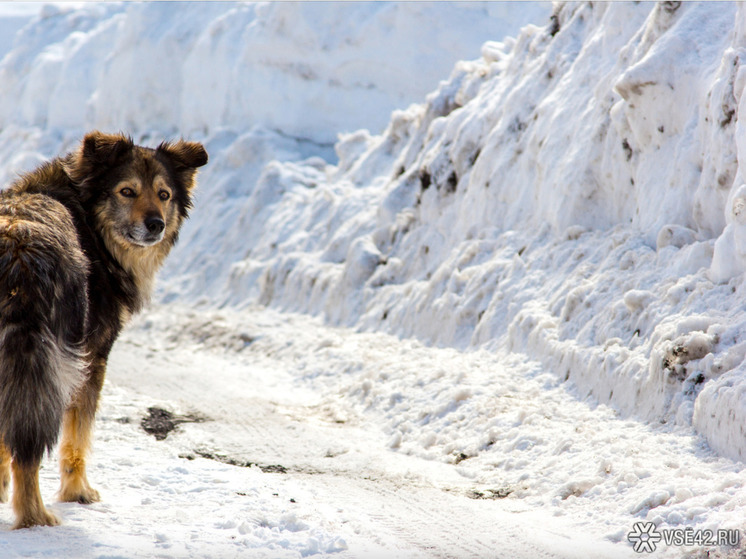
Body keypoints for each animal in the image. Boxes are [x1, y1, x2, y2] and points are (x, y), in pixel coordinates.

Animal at [0, 131, 206, 528]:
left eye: (164, 194)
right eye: (127, 191)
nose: (156, 224)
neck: (89, 223)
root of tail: (19, 250)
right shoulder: (92, 359)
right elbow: (77, 439)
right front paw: (77, 492)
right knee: (31, 448)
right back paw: (35, 515)